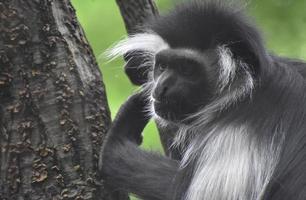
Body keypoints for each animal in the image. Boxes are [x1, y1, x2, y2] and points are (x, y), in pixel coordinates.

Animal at [99, 0, 306, 199]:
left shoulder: (238, 130)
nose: (160, 88)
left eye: (186, 69)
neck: (242, 92)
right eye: (163, 66)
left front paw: (123, 128)